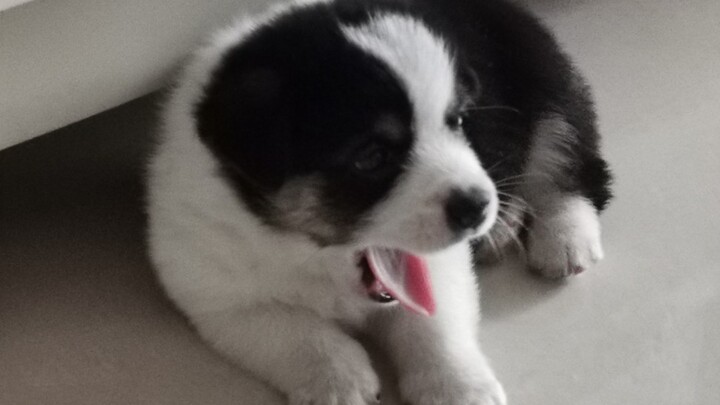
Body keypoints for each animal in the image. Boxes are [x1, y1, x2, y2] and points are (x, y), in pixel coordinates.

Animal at [149, 0, 612, 402]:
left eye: (459, 121)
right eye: (371, 157)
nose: (478, 206)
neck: (316, 256)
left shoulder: (439, 265)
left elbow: (434, 325)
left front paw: (459, 389)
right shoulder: (218, 296)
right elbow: (295, 332)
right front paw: (339, 381)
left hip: (548, 83)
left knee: (566, 163)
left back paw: (561, 238)